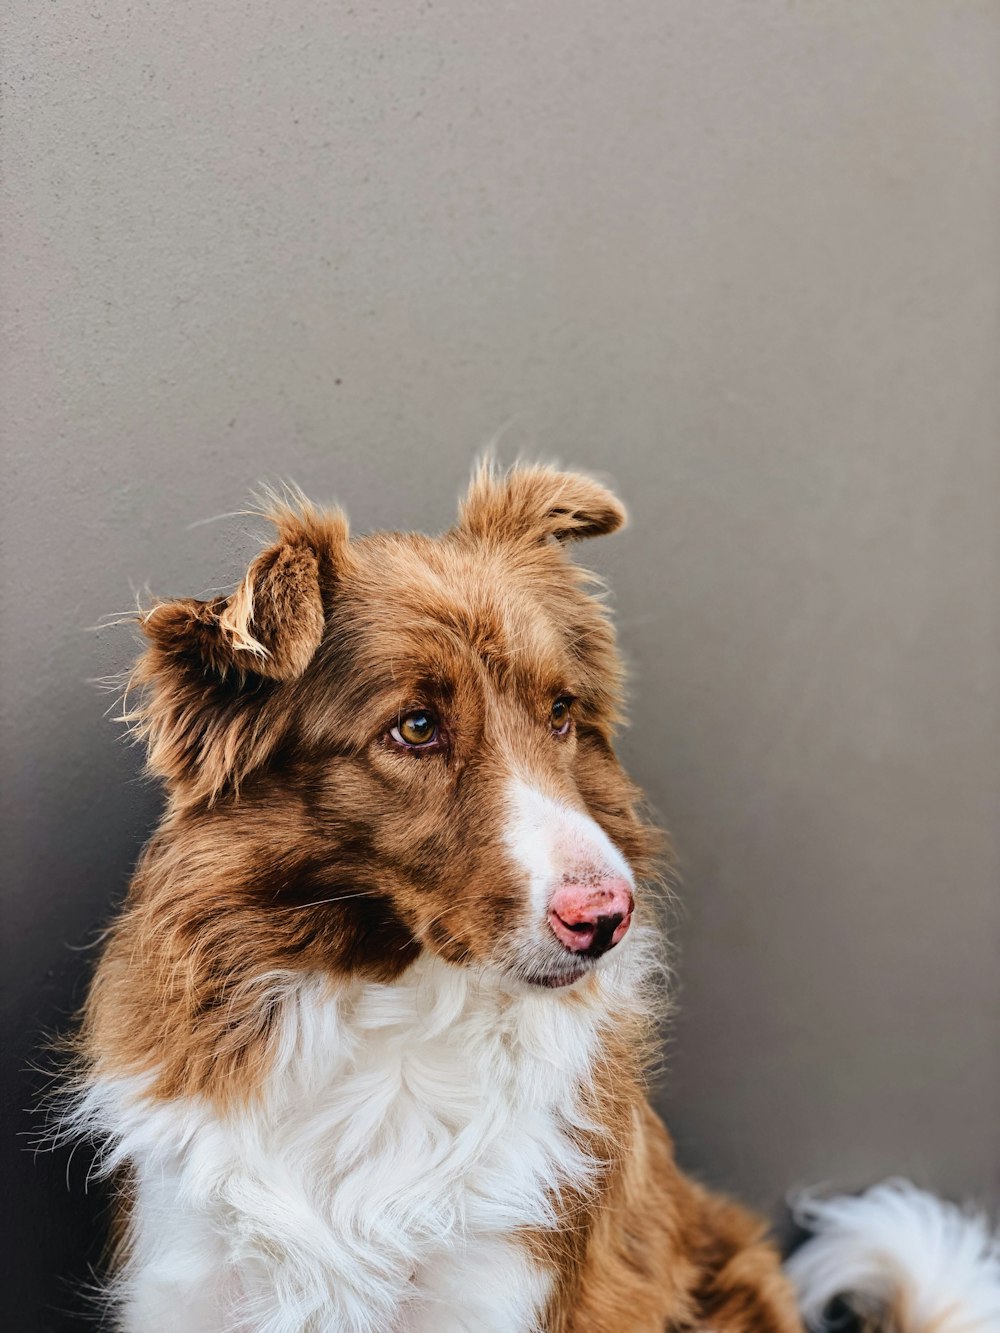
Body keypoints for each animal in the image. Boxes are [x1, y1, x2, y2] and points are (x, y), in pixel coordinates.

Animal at [64, 463, 1000, 1327]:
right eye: (415, 726)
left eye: (560, 713)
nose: (608, 920)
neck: (394, 1029)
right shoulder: (189, 1276)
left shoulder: (500, 1285)